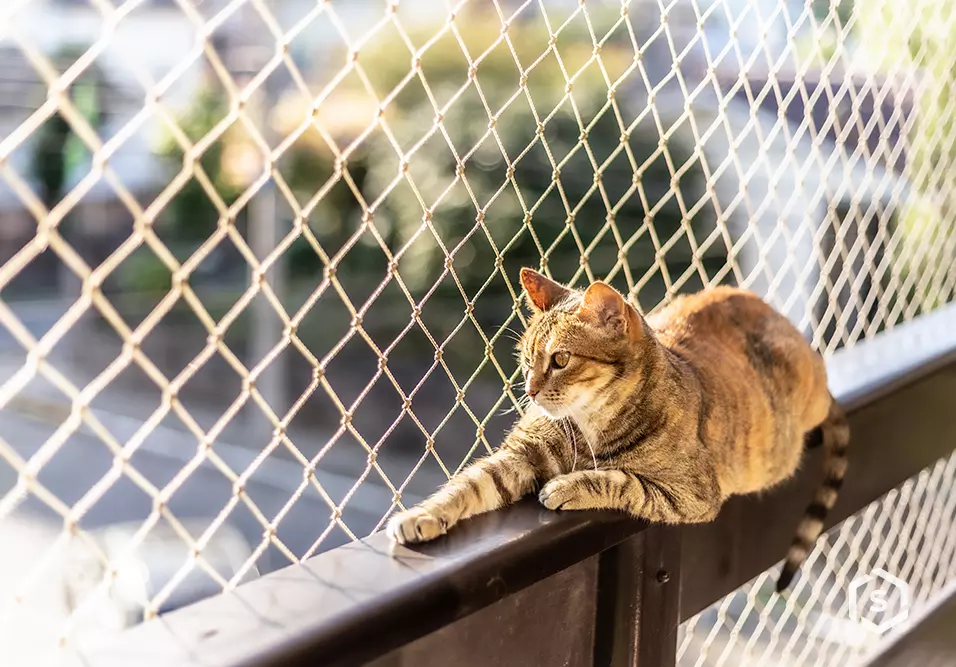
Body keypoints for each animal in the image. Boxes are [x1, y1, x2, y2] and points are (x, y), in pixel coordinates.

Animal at [384, 266, 848, 588]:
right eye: (526, 359)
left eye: (560, 359)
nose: (530, 391)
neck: (590, 421)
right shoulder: (522, 453)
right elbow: (469, 484)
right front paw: (423, 515)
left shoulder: (692, 493)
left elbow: (622, 481)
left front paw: (568, 487)